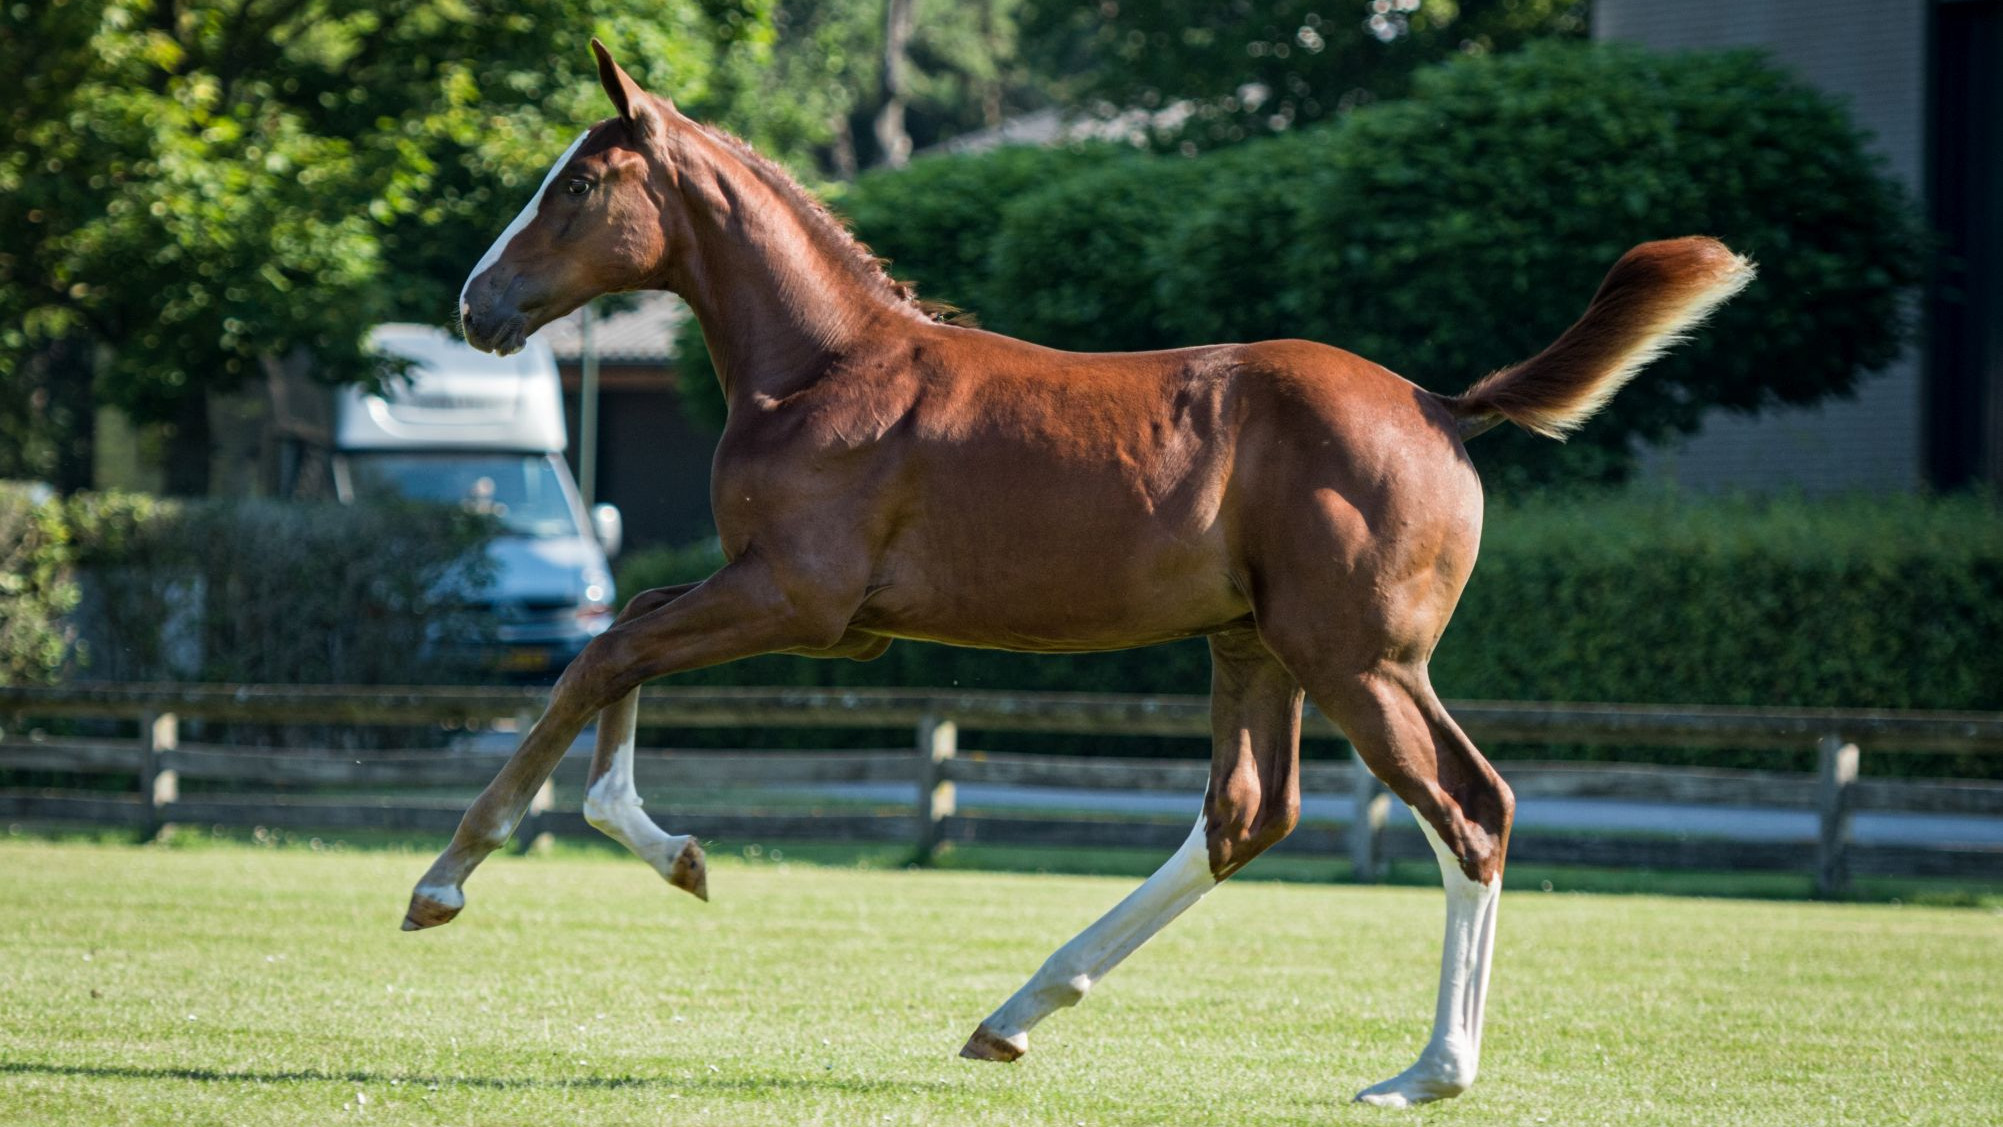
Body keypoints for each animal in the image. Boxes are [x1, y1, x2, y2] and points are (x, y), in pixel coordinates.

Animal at [410, 39, 1753, 1108]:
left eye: (577, 183)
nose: (476, 304)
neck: (827, 366)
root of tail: (1440, 404)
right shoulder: (812, 615)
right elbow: (623, 632)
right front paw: (670, 849)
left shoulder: (794, 597)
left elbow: (603, 647)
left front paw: (448, 878)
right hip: (1254, 644)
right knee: (1247, 812)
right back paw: (1015, 1012)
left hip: (1360, 659)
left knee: (1466, 808)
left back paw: (1425, 1072)